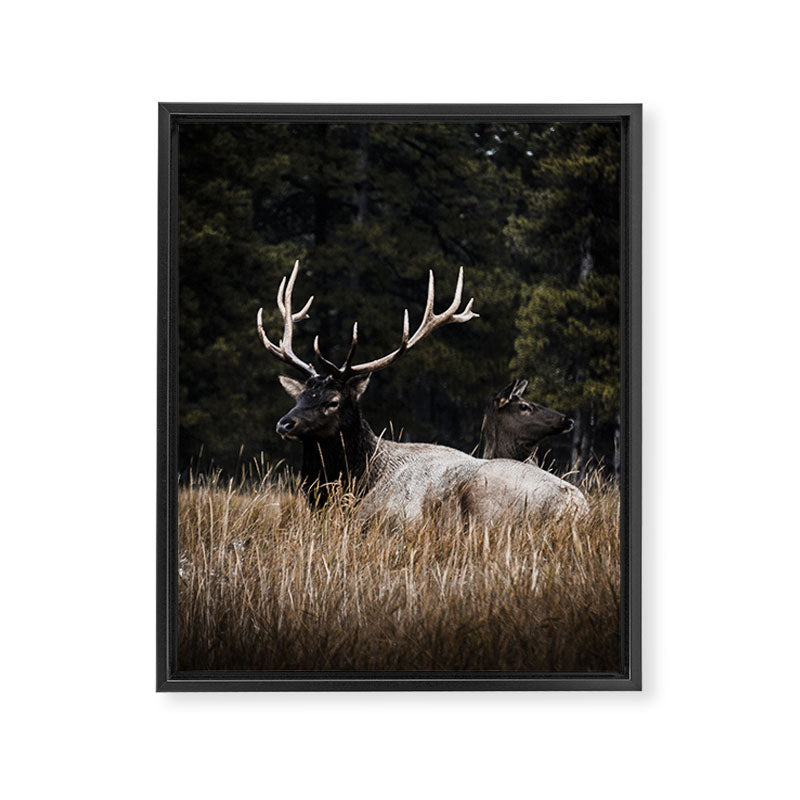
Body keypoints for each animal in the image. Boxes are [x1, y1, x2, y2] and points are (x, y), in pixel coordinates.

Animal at [258, 260, 588, 528]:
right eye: (299, 398)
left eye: (333, 402)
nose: (285, 423)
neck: (358, 480)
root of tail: (576, 506)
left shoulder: (398, 520)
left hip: (486, 501)